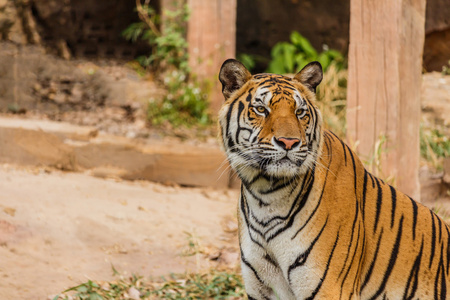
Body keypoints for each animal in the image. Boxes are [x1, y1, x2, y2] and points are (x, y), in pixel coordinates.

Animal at [217, 57, 450, 298]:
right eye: (261, 109)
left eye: (300, 112)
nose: (289, 142)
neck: (266, 195)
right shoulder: (261, 287)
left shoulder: (330, 287)